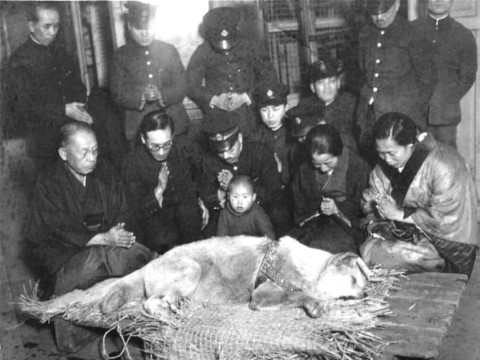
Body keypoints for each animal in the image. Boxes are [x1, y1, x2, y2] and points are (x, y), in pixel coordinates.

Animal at [101, 236, 372, 318]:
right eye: (353, 280)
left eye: (362, 282)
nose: (366, 294)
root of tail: (149, 264)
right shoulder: (262, 295)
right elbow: (299, 295)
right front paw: (315, 304)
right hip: (191, 268)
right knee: (149, 302)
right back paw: (168, 310)